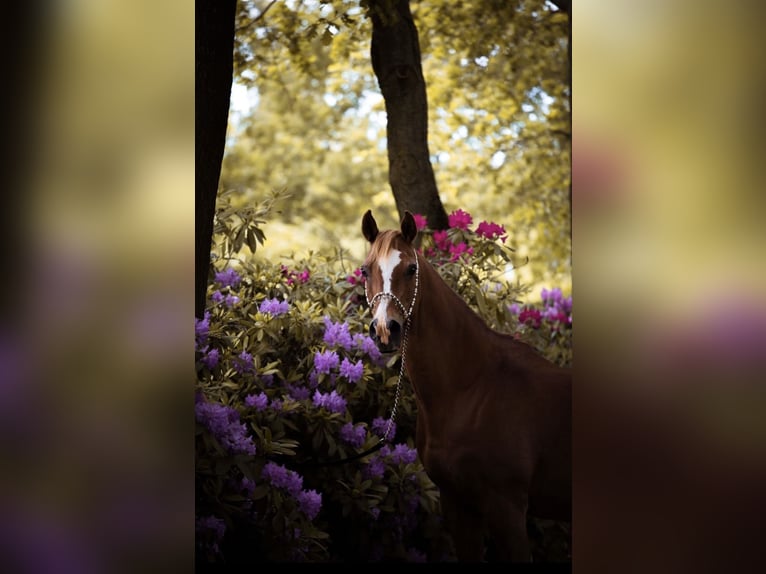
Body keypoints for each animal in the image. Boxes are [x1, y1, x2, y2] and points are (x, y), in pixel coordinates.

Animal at [360, 210, 568, 564]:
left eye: (411, 269)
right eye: (365, 270)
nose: (386, 331)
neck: (473, 389)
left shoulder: (507, 509)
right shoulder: (458, 503)